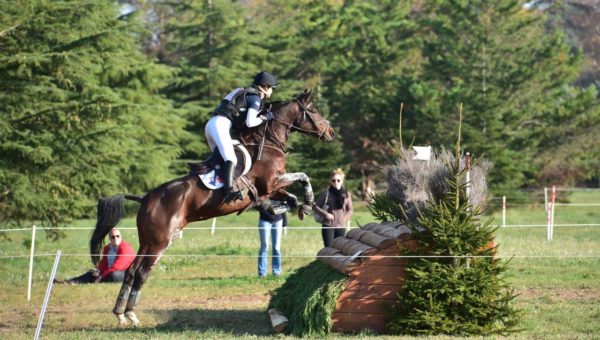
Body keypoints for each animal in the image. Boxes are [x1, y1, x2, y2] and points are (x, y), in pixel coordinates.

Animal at [89, 89, 336, 326]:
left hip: (148, 241)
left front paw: (294, 208)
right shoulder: (271, 182)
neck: (267, 143)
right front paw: (305, 203)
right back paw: (131, 314)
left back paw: (121, 314)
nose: (331, 133)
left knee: (131, 271)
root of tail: (146, 197)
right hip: (160, 242)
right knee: (141, 273)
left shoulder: (272, 188)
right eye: (314, 110)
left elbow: (290, 196)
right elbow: (303, 177)